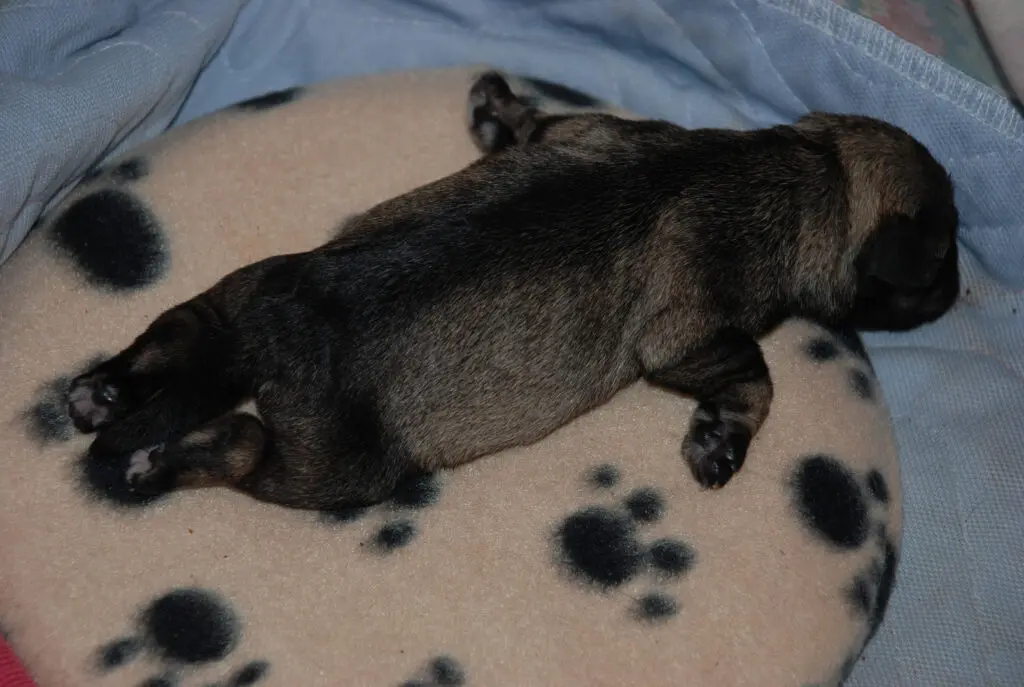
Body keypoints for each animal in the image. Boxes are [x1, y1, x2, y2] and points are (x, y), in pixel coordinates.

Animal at [64, 72, 958, 509]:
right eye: (942, 259)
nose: (959, 291)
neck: (809, 170)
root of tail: (280, 328)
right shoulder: (689, 333)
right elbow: (756, 377)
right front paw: (721, 441)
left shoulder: (577, 128)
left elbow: (531, 125)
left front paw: (494, 109)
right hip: (336, 467)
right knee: (244, 443)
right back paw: (159, 459)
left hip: (233, 294)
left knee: (178, 338)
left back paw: (104, 394)